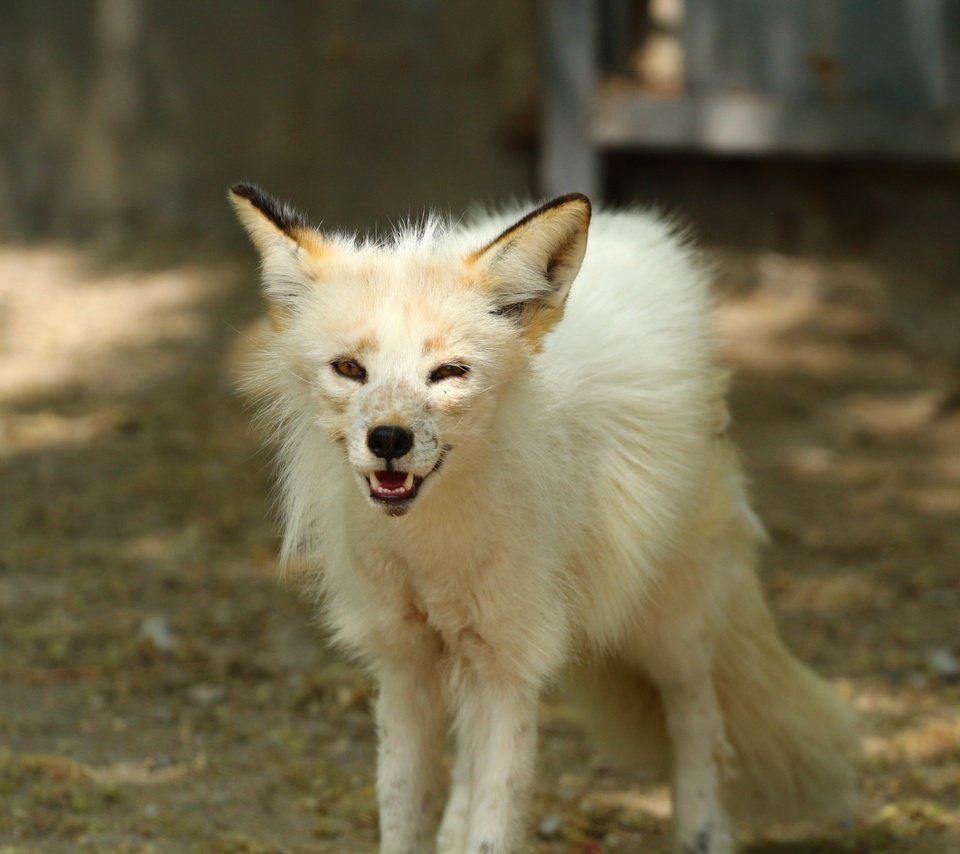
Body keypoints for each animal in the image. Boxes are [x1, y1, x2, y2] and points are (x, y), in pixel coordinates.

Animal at [231, 187, 856, 854]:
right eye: (350, 368)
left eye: (449, 373)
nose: (389, 440)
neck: (435, 551)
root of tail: (630, 224)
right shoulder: (405, 661)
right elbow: (405, 815)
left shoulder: (511, 660)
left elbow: (495, 825)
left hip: (668, 623)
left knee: (699, 720)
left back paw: (702, 832)